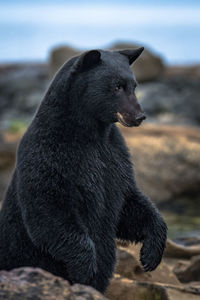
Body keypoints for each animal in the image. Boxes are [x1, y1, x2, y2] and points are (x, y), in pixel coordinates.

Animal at [0, 48, 167, 292]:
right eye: (117, 86)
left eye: (134, 85)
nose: (139, 116)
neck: (91, 132)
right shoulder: (48, 156)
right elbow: (50, 210)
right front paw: (85, 270)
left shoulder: (115, 157)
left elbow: (128, 203)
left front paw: (150, 255)